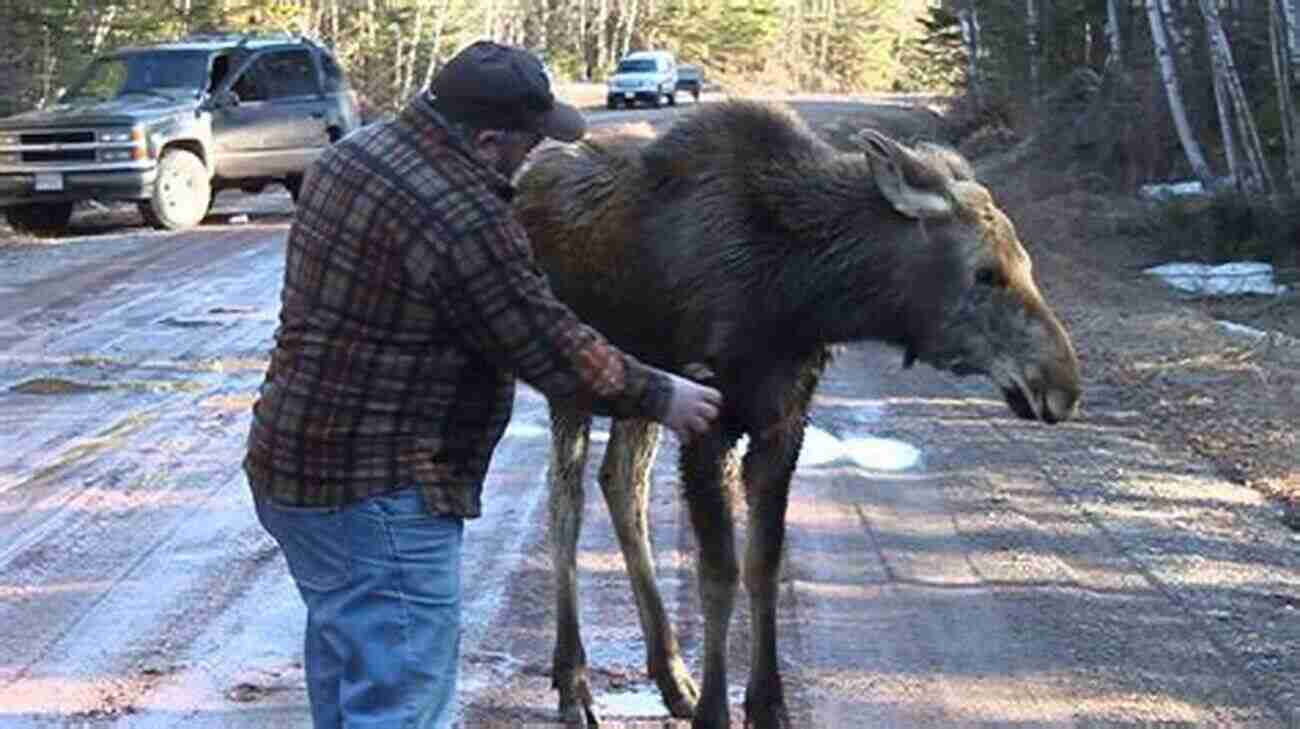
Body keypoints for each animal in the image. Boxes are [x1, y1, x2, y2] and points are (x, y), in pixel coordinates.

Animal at [512, 100, 1081, 727]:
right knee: (566, 501)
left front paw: (767, 704)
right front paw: (716, 710)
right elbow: (719, 573)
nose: (1062, 382)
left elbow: (764, 564)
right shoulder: (710, 422)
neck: (800, 294)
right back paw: (574, 682)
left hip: (641, 392)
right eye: (986, 273)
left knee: (620, 482)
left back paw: (671, 673)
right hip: (571, 380)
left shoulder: (782, 422)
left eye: (1026, 263)